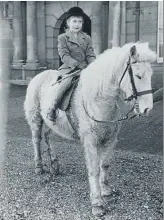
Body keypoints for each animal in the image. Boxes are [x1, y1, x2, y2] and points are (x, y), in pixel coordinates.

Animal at [23, 42, 156, 217]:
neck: (99, 99)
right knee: (36, 140)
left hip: (54, 124)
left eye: (150, 75)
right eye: (138, 76)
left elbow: (104, 165)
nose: (147, 109)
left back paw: (55, 165)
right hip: (35, 118)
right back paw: (39, 167)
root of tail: (39, 76)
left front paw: (106, 191)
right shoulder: (91, 140)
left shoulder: (111, 139)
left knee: (47, 136)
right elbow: (94, 170)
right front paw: (97, 203)